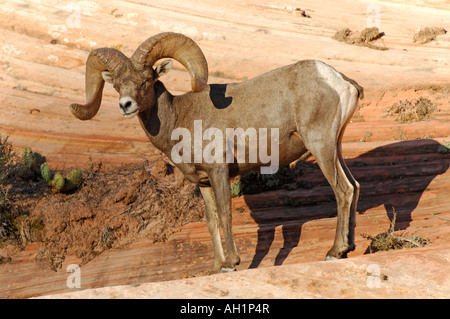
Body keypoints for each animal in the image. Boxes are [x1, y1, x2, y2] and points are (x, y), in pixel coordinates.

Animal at [71, 31, 366, 272]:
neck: (179, 119)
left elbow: (225, 214)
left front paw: (231, 264)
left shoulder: (219, 171)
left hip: (320, 146)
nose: (125, 105)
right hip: (335, 146)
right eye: (116, 85)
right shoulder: (203, 182)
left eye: (146, 80)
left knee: (343, 190)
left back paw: (334, 252)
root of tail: (340, 82)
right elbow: (212, 221)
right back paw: (348, 249)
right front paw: (215, 267)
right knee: (355, 186)